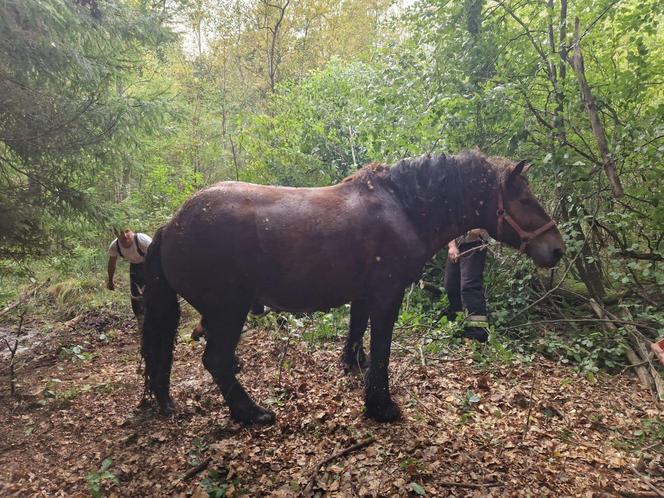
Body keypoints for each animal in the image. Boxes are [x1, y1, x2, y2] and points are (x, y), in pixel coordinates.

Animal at [143, 151, 564, 424]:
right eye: (525, 199)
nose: (557, 249)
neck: (403, 208)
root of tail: (172, 226)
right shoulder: (387, 296)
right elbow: (381, 351)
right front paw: (380, 406)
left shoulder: (365, 295)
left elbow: (357, 331)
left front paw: (352, 365)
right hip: (229, 310)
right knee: (215, 360)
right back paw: (250, 412)